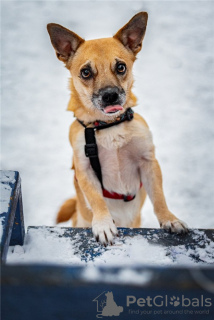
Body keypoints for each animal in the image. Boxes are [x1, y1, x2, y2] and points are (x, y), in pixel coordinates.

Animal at [46, 10, 187, 245]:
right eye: (86, 72)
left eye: (121, 67)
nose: (110, 95)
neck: (108, 126)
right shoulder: (85, 171)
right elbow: (97, 200)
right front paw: (103, 224)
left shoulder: (148, 162)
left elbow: (159, 197)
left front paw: (169, 219)